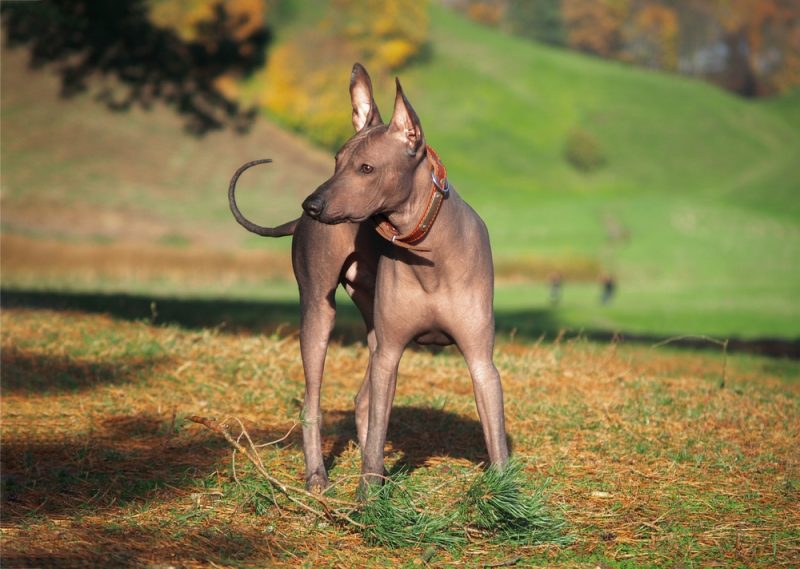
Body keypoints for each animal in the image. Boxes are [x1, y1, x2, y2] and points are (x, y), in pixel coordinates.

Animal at [228, 61, 510, 488]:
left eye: (366, 168)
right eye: (336, 161)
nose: (311, 205)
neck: (428, 251)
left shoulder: (481, 361)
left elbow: (496, 442)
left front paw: (508, 497)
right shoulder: (390, 354)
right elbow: (377, 436)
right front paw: (369, 497)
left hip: (372, 324)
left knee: (361, 400)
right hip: (320, 313)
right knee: (314, 403)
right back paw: (317, 476)